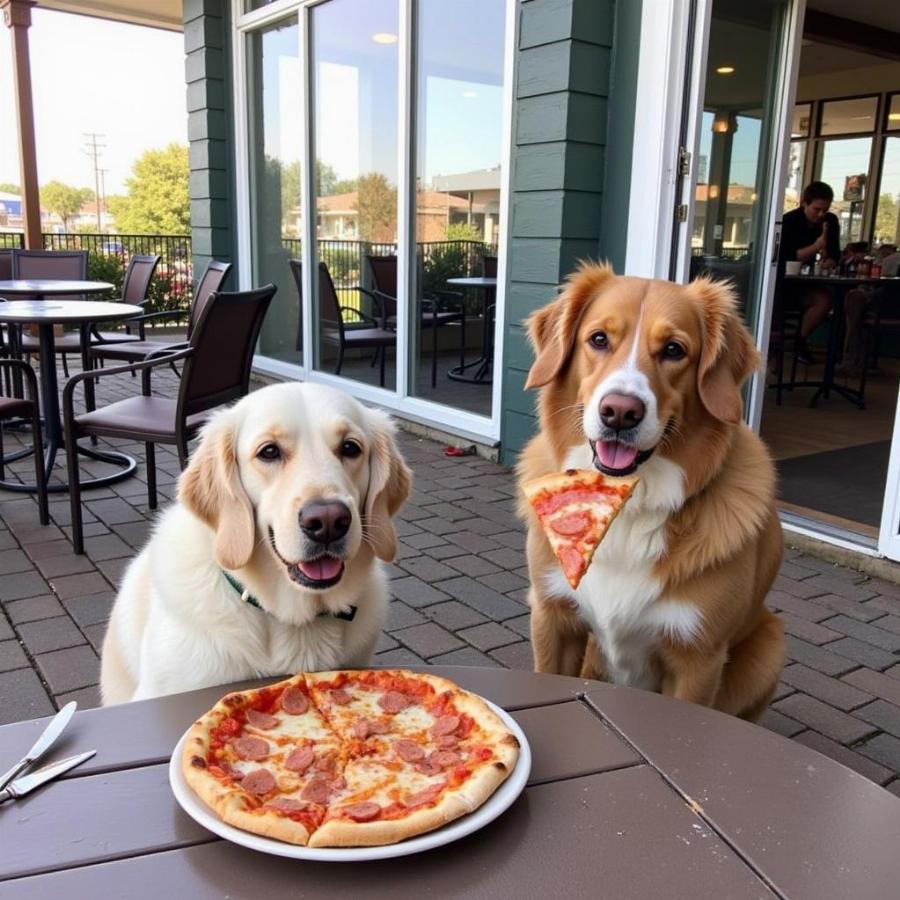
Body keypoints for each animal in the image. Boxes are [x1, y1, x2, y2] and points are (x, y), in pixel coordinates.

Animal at [516, 264, 784, 720]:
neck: (631, 506)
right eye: (598, 339)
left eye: (674, 350)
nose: (620, 412)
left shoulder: (698, 659)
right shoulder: (553, 618)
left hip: (770, 646)